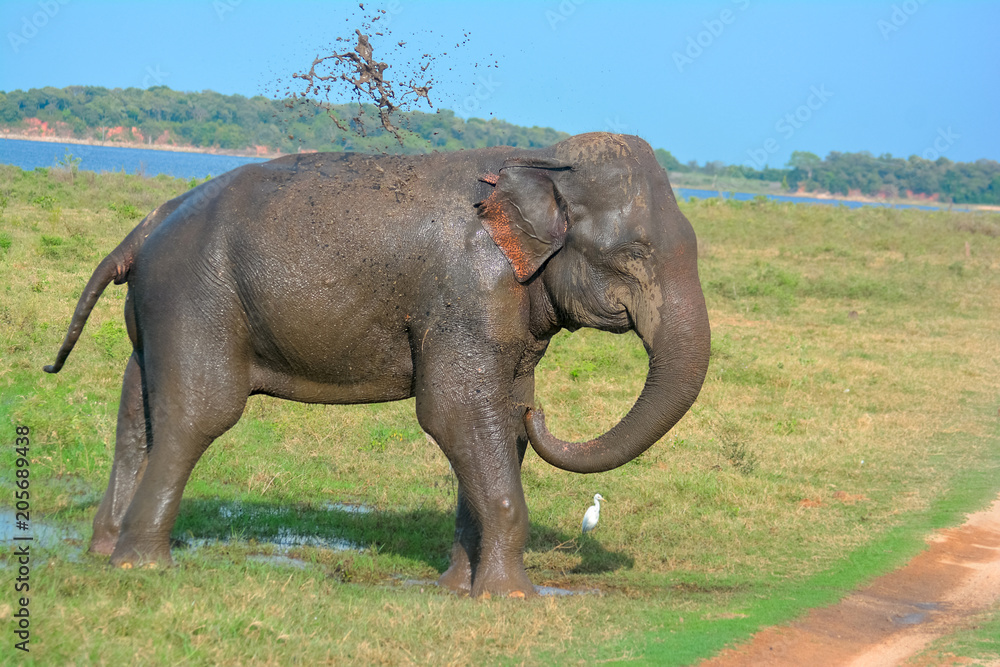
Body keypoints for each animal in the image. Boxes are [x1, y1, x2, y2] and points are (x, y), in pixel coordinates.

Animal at [44, 132, 710, 597]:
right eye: (635, 255)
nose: (541, 413)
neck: (540, 157)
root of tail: (147, 224)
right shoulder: (468, 291)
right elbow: (456, 413)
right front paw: (512, 598)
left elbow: (493, 422)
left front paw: (457, 590)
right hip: (195, 299)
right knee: (196, 414)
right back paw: (143, 565)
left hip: (157, 310)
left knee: (136, 412)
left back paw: (105, 552)